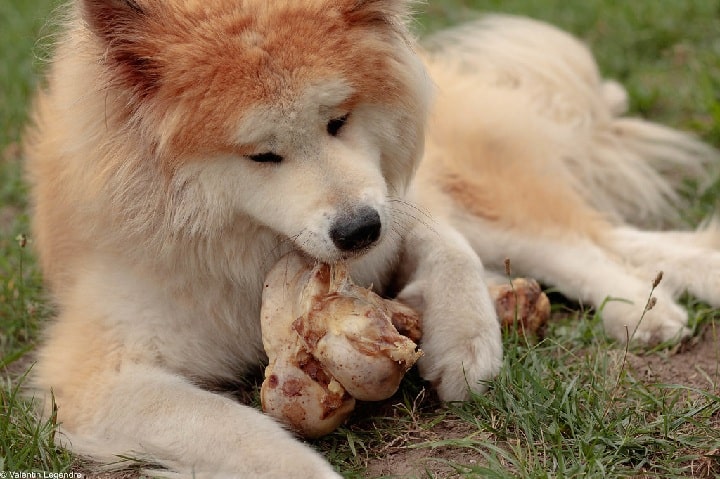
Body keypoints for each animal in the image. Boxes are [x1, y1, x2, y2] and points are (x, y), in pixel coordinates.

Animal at [25, 0, 716, 479]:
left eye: (338, 121)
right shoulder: (97, 378)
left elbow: (450, 249)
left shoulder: (396, 201)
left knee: (578, 239)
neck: (250, 249)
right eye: (262, 155)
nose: (359, 229)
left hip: (477, 195)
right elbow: (231, 428)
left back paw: (645, 309)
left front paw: (466, 342)